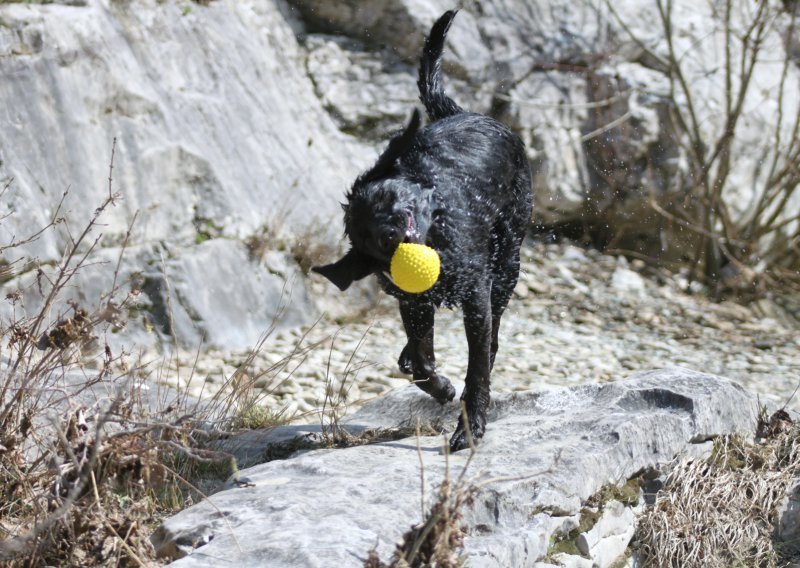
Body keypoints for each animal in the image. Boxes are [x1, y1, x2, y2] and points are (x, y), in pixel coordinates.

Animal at [312, 10, 532, 452]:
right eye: (364, 237)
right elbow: (421, 363)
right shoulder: (412, 304)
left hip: (507, 263)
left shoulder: (476, 295)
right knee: (415, 355)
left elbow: (476, 367)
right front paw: (442, 387)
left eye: (384, 199)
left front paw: (471, 425)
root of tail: (461, 111)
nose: (389, 234)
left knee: (494, 337)